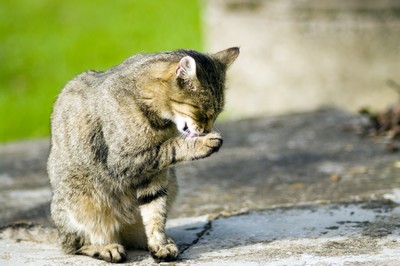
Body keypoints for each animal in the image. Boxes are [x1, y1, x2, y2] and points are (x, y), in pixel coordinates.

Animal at [48, 46, 239, 262]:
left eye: (217, 113)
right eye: (202, 111)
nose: (207, 129)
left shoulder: (154, 174)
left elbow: (155, 210)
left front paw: (160, 244)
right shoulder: (124, 160)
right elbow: (170, 147)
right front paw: (202, 143)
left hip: (171, 184)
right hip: (81, 202)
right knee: (74, 245)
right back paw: (105, 247)